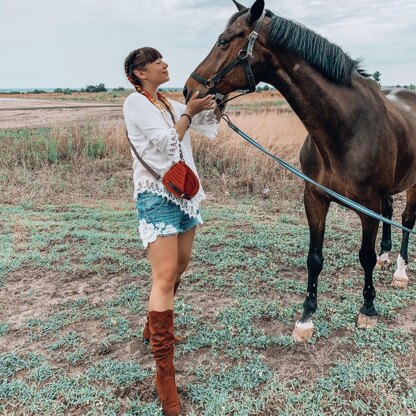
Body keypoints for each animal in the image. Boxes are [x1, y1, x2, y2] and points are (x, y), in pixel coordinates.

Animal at [184, 0, 416, 342]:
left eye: (223, 40)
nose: (189, 91)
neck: (348, 128)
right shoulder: (315, 197)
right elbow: (314, 257)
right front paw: (306, 317)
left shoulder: (367, 204)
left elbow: (365, 256)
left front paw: (368, 308)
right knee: (389, 214)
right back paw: (387, 258)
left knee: (406, 220)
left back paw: (400, 270)